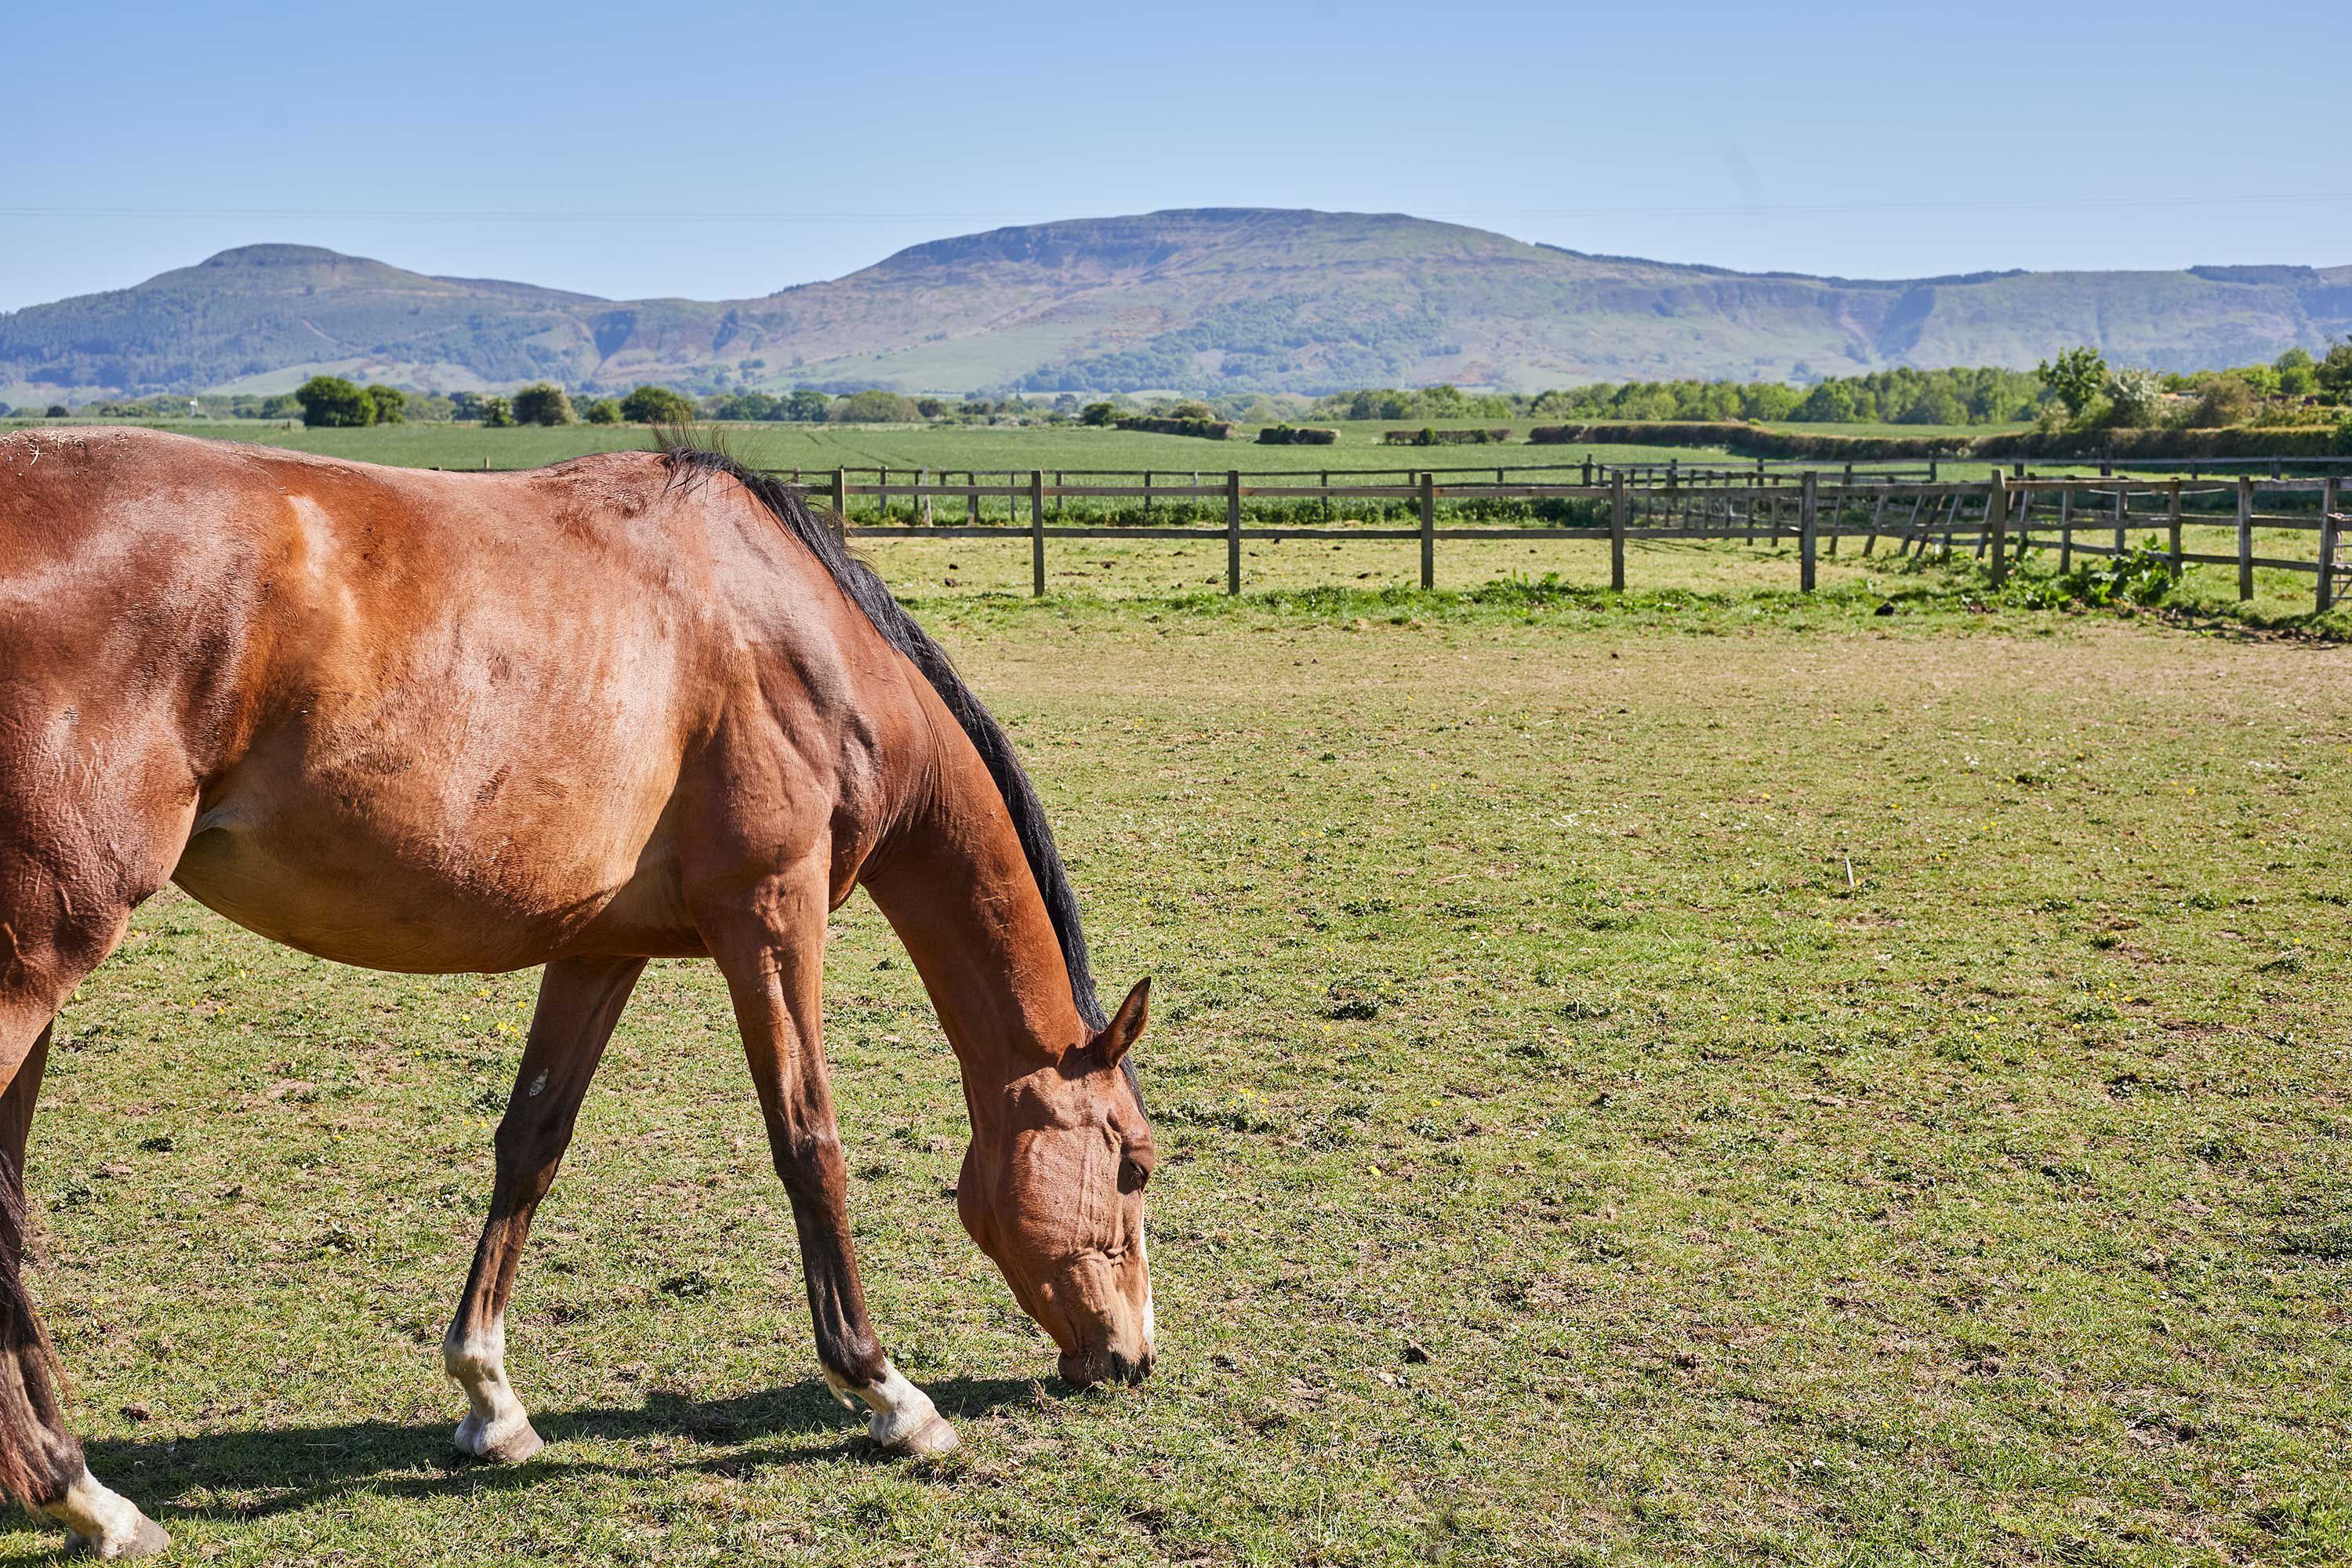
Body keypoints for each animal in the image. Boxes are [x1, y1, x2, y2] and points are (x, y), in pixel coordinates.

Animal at [0, 427, 1156, 1557]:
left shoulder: (600, 948)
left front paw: (491, 1401)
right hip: (38, 963)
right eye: (1134, 1164)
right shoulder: (773, 916)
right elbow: (808, 1144)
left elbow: (532, 1143)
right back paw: (82, 1493)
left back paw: (79, 1496)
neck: (801, 633)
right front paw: (888, 1393)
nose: (1133, 1359)